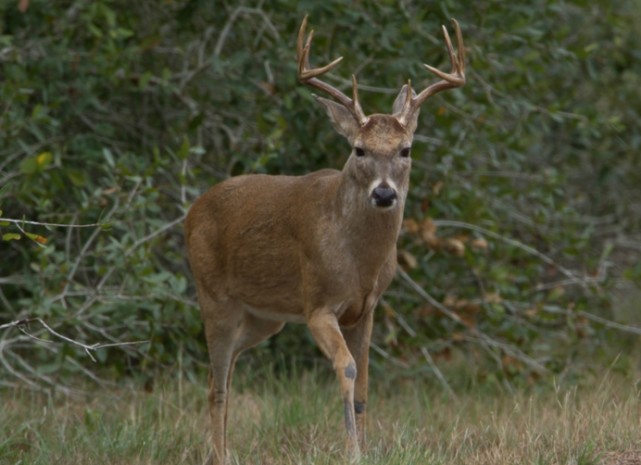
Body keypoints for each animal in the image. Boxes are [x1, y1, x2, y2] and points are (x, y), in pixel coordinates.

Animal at [185, 14, 464, 464]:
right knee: (219, 385)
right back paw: (221, 456)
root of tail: (192, 211)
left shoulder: (368, 309)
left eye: (405, 149)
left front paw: (367, 447)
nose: (383, 194)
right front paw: (352, 451)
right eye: (359, 149)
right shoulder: (318, 303)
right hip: (214, 297)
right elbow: (346, 368)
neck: (359, 261)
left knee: (216, 375)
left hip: (266, 317)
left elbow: (365, 382)